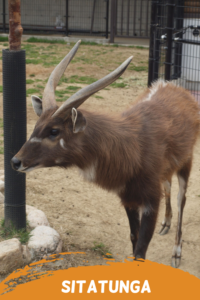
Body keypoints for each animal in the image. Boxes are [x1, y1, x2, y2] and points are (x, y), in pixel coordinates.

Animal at [11, 40, 200, 268]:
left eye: (54, 131)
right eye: (37, 125)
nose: (16, 161)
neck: (132, 146)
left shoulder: (150, 201)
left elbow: (141, 249)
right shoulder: (128, 198)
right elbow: (134, 237)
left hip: (186, 162)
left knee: (182, 198)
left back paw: (176, 253)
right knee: (168, 184)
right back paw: (166, 224)